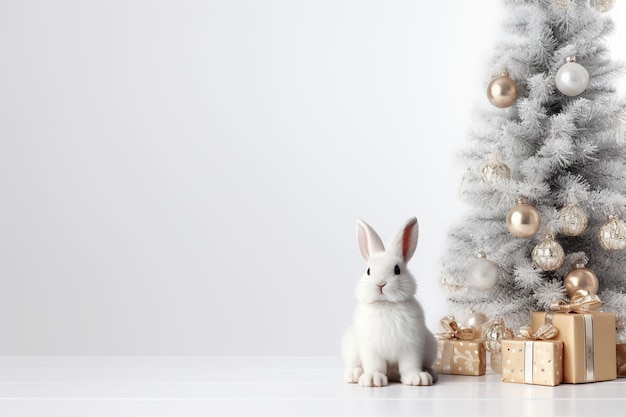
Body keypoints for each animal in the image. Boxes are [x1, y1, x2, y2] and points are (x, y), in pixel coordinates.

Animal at [342, 218, 434, 386]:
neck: (386, 305)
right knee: (354, 364)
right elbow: (375, 365)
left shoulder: (411, 346)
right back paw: (354, 375)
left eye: (397, 270)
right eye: (368, 271)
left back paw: (430, 373)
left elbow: (410, 366)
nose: (381, 284)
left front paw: (417, 378)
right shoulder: (371, 349)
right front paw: (372, 379)